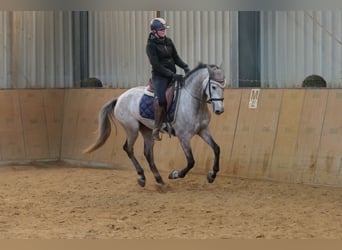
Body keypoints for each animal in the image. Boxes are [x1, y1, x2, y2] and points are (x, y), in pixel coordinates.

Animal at [83, 63, 227, 188]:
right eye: (214, 87)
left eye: (223, 86)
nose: (219, 110)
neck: (192, 102)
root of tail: (119, 98)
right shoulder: (184, 137)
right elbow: (191, 161)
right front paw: (175, 174)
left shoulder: (203, 130)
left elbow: (216, 148)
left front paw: (212, 175)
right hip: (132, 129)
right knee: (128, 148)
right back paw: (142, 177)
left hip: (147, 130)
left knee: (147, 153)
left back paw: (159, 179)